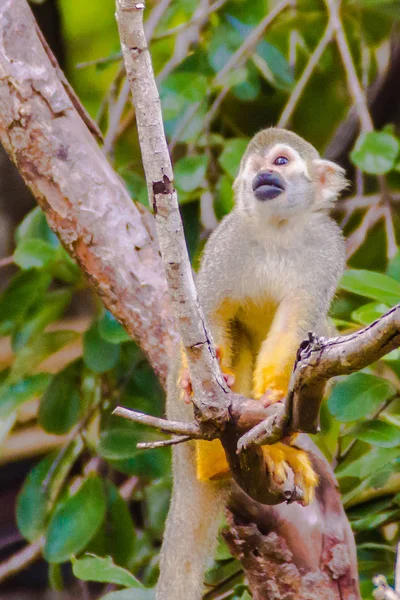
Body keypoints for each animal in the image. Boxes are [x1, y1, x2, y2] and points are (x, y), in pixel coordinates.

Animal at [157, 127, 346, 600]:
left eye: (280, 162)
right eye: (253, 166)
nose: (262, 175)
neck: (276, 228)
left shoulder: (327, 246)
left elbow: (299, 325)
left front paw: (276, 397)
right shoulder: (228, 238)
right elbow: (211, 311)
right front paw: (204, 376)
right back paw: (215, 451)